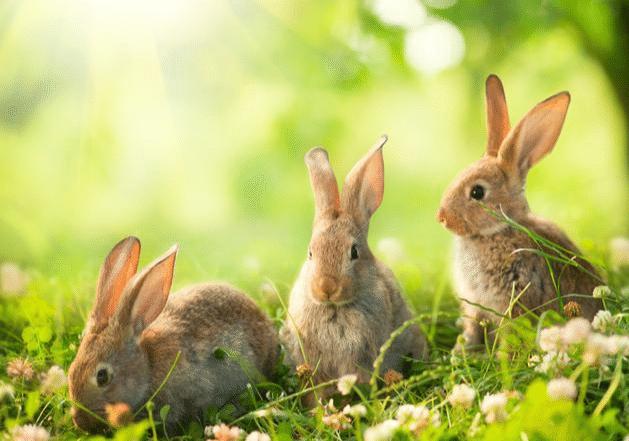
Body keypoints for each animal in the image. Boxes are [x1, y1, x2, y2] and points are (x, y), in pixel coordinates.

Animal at [436, 75, 604, 350]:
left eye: (477, 192)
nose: (442, 217)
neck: (498, 231)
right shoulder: (475, 307)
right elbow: (473, 328)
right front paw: (462, 351)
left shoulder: (516, 298)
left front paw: (502, 356)